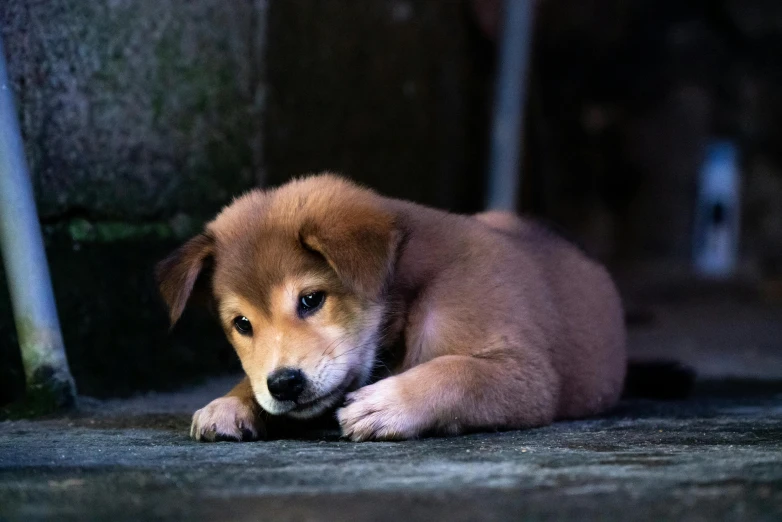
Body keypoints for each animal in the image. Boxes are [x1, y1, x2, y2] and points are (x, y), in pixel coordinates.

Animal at [156, 174, 628, 438]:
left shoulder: (526, 375)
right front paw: (231, 402)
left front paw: (389, 404)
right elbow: (251, 382)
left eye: (311, 300)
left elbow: (457, 373)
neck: (413, 293)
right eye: (241, 324)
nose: (284, 384)